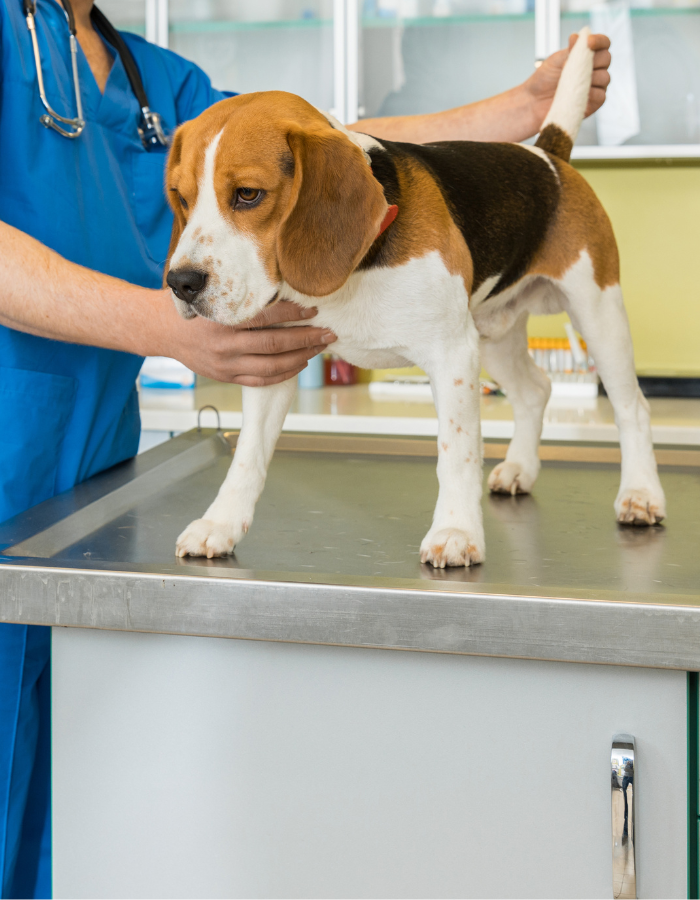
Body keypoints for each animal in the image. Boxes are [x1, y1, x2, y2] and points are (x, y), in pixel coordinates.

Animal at [164, 29, 668, 568]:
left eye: (248, 195)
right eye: (182, 199)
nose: (181, 283)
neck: (356, 267)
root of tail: (546, 156)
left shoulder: (451, 356)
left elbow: (457, 453)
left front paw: (456, 532)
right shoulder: (273, 364)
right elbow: (247, 458)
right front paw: (219, 525)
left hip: (597, 311)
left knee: (632, 407)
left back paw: (640, 494)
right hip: (491, 332)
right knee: (535, 389)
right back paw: (520, 468)